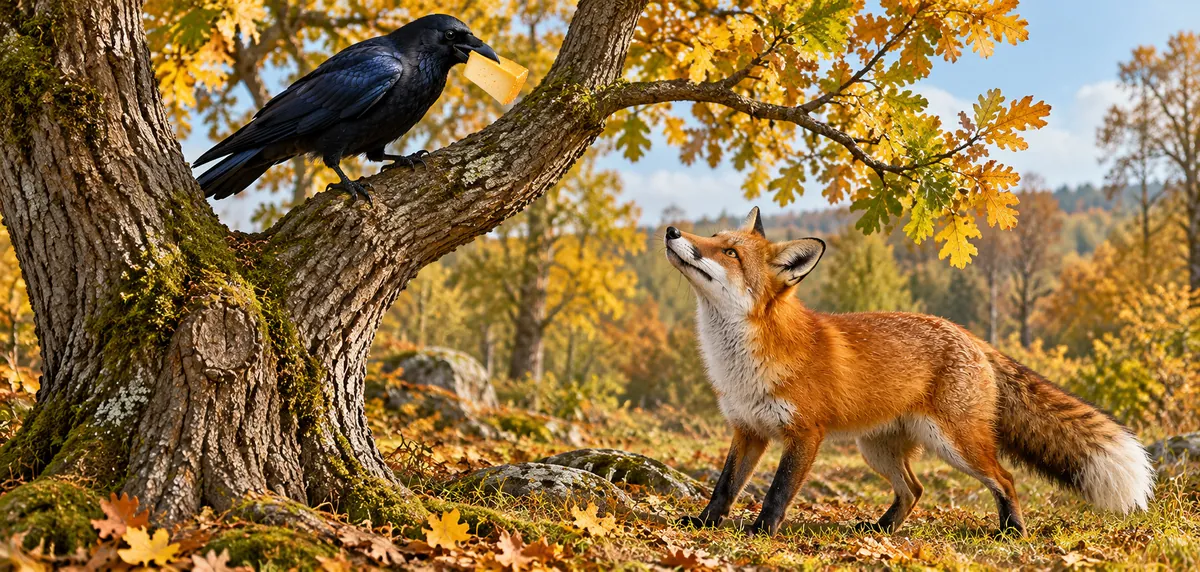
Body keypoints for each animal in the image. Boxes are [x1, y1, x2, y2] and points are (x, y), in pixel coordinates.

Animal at [665, 207, 1155, 537]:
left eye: (729, 252)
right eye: (713, 236)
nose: (671, 230)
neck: (745, 364)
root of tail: (972, 337)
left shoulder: (805, 434)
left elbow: (778, 492)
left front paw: (761, 532)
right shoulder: (748, 429)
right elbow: (725, 486)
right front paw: (705, 524)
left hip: (957, 445)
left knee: (1005, 479)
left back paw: (1012, 531)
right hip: (876, 449)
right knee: (915, 489)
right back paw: (882, 529)